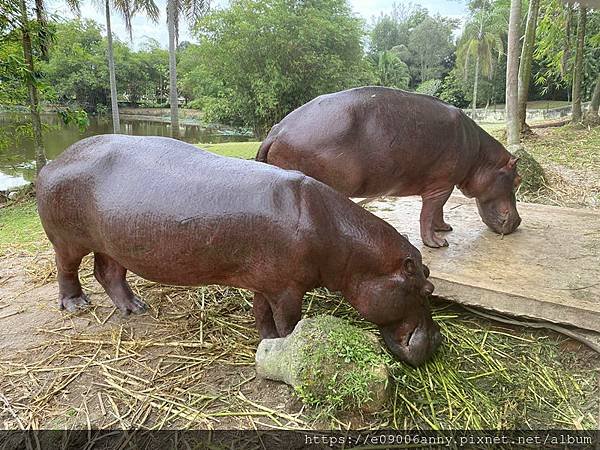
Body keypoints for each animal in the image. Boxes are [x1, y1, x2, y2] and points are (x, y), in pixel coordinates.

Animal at [36, 135, 440, 368]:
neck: (348, 244)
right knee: (67, 269)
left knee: (109, 273)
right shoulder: (288, 289)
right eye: (426, 288)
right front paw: (285, 343)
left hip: (115, 242)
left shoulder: (268, 281)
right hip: (68, 241)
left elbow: (262, 313)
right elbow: (290, 321)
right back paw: (77, 305)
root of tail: (54, 160)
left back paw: (136, 308)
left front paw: (267, 340)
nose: (438, 341)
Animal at [255, 86, 524, 248]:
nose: (518, 221)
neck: (481, 157)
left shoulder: (444, 185)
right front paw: (437, 244)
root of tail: (277, 130)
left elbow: (438, 212)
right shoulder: (441, 185)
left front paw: (446, 228)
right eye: (518, 180)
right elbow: (428, 213)